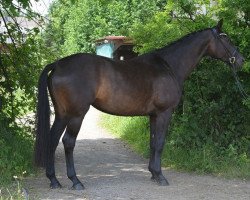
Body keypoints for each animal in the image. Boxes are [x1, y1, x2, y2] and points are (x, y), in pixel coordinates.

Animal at [34, 19, 244, 190]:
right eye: (226, 39)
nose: (241, 60)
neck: (169, 66)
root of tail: (58, 64)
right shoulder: (164, 113)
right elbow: (160, 143)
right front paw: (160, 176)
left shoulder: (153, 115)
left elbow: (152, 142)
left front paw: (153, 173)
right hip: (77, 114)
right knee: (68, 142)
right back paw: (75, 181)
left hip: (62, 114)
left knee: (53, 140)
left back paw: (54, 180)